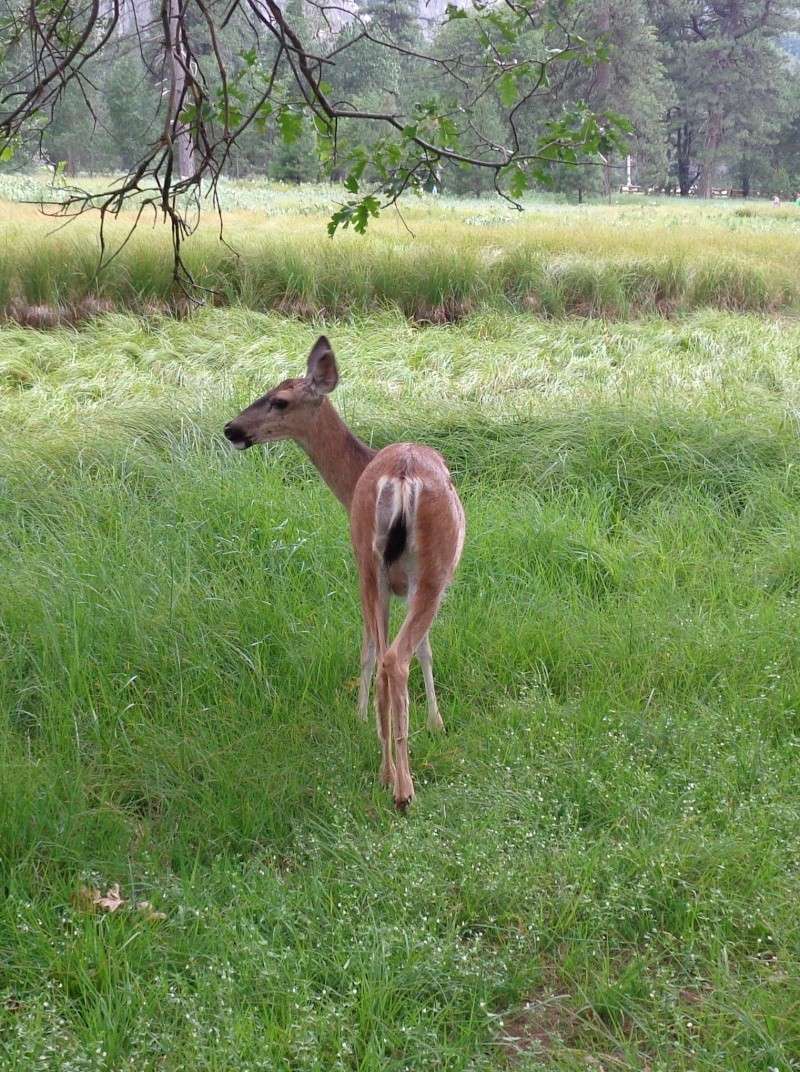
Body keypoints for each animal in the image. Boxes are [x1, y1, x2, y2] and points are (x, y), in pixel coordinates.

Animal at [220, 338, 465, 806]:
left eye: (279, 400)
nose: (231, 429)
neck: (351, 481)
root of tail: (401, 477)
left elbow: (395, 648)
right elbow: (418, 650)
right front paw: (432, 722)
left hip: (374, 565)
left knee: (387, 655)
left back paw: (390, 775)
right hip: (424, 569)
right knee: (392, 658)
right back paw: (402, 787)